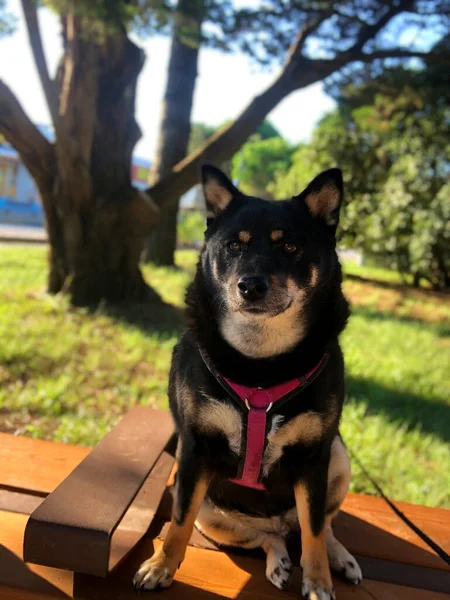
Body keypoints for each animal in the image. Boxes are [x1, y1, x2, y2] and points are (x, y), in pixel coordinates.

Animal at [133, 165, 362, 600]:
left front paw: (318, 581)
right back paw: (278, 561)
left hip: (339, 458)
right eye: (234, 246)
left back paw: (339, 557)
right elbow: (178, 521)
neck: (260, 363)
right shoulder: (194, 451)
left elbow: (315, 529)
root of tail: (279, 521)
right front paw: (161, 566)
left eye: (289, 246)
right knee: (265, 537)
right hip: (212, 512)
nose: (251, 285)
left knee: (319, 525)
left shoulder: (315, 457)